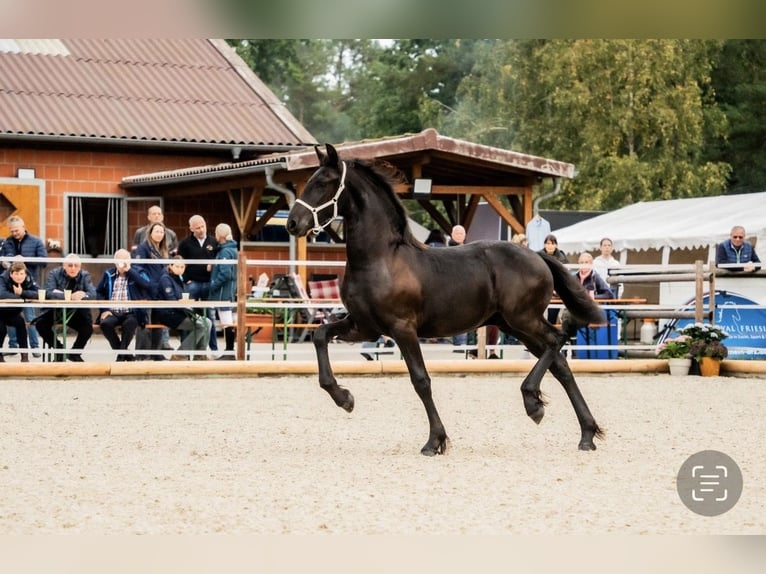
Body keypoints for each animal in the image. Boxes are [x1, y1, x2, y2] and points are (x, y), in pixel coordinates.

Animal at [287, 144, 605, 455]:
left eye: (323, 182)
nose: (292, 223)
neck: (379, 259)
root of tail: (538, 255)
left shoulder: (402, 328)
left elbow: (421, 380)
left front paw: (435, 441)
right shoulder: (364, 327)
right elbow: (320, 334)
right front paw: (344, 398)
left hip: (524, 319)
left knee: (557, 340)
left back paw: (533, 402)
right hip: (513, 325)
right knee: (560, 365)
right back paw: (586, 434)